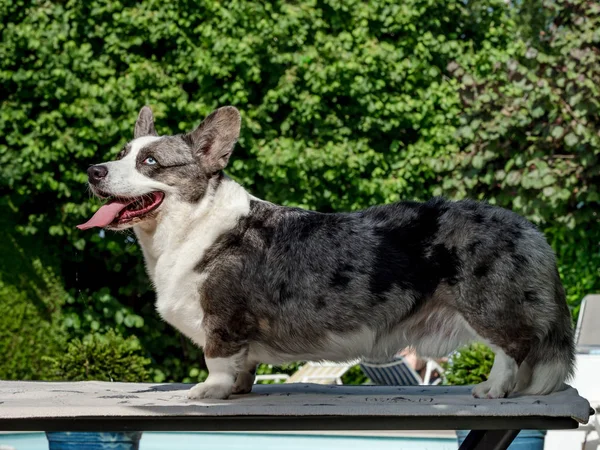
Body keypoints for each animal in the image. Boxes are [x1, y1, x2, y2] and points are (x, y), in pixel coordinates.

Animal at [77, 106, 576, 400]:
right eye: (121, 153)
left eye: (150, 163)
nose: (93, 170)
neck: (190, 224)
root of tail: (531, 230)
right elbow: (243, 367)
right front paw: (238, 391)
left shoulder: (222, 320)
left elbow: (217, 360)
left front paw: (208, 392)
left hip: (489, 306)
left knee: (514, 348)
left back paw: (493, 390)